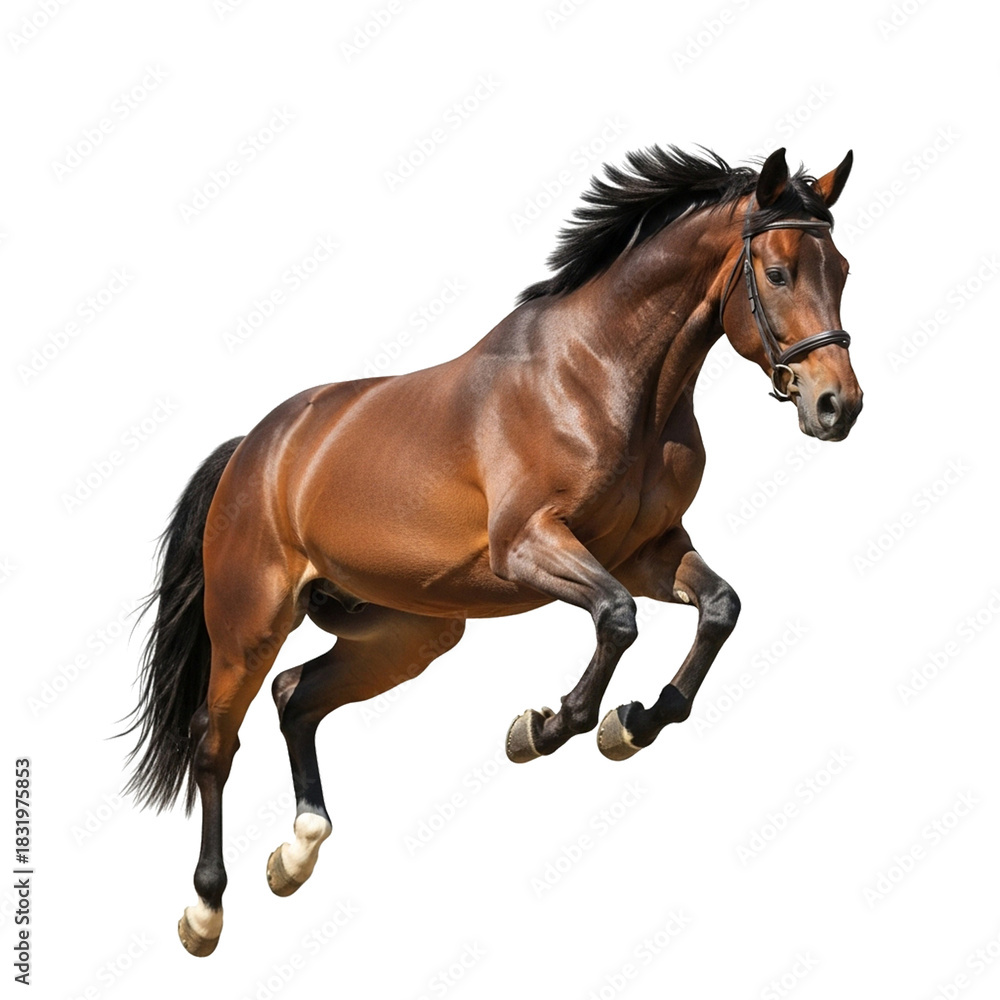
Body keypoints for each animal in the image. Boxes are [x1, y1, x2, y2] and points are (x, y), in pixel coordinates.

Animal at [124, 145, 863, 956]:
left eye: (842, 270)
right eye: (778, 273)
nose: (838, 405)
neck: (603, 377)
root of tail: (253, 448)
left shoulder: (648, 551)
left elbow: (720, 609)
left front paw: (633, 723)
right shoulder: (531, 546)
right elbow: (618, 619)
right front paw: (544, 728)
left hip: (407, 632)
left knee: (296, 696)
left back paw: (296, 853)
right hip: (251, 622)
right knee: (214, 741)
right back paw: (205, 910)